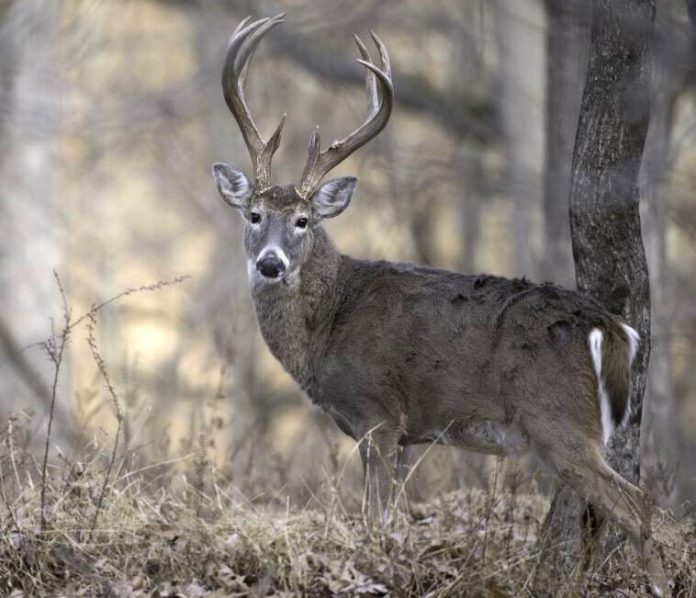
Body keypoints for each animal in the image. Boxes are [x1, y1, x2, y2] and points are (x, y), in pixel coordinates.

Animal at [211, 14, 669, 595]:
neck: (328, 325)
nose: (271, 264)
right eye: (253, 215)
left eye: (303, 220)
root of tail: (614, 327)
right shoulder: (407, 433)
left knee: (638, 507)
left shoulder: (377, 412)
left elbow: (374, 519)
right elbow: (389, 517)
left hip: (559, 420)